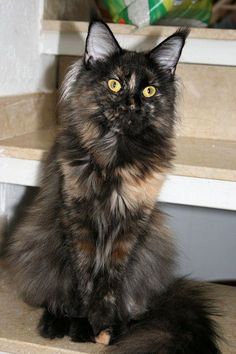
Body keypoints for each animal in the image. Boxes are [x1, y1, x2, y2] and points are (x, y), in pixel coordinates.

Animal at [7, 20, 221, 354]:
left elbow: (109, 283)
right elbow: (83, 281)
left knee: (133, 306)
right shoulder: (77, 220)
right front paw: (82, 324)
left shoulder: (131, 225)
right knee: (54, 296)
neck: (115, 157)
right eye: (115, 85)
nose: (131, 104)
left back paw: (119, 329)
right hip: (39, 243)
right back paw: (54, 323)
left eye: (149, 90)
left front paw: (101, 324)